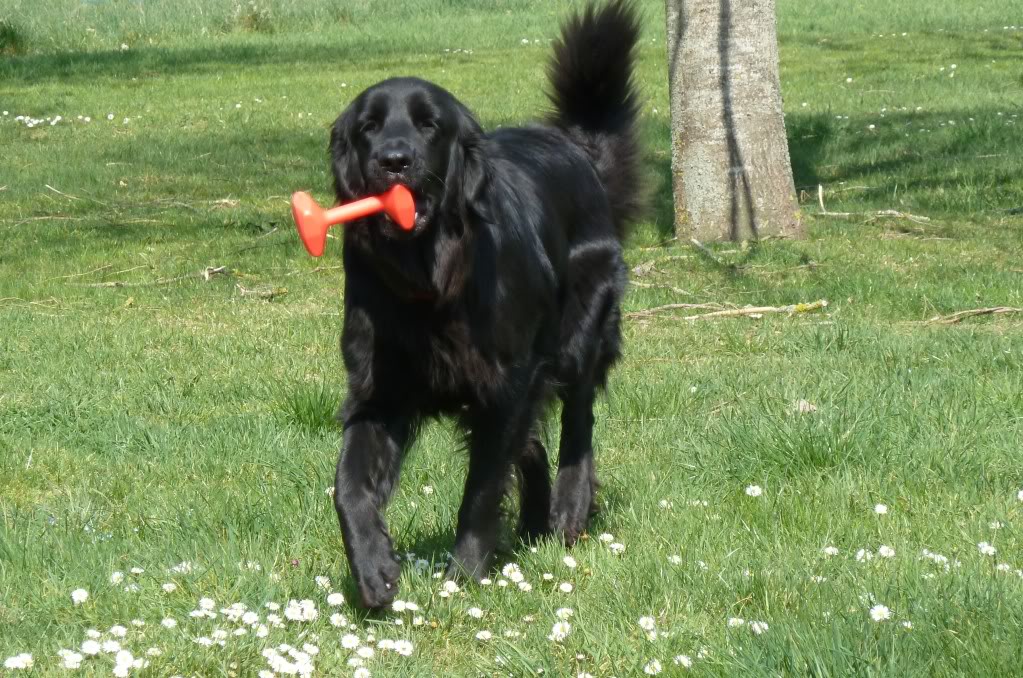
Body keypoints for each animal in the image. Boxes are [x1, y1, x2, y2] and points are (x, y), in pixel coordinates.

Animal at [331, 0, 642, 609]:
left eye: (429, 124)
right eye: (368, 127)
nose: (393, 160)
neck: (427, 278)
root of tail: (576, 148)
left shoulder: (505, 382)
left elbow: (479, 490)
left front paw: (465, 573)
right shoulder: (380, 391)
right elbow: (347, 486)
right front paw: (374, 569)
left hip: (577, 333)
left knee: (576, 421)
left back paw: (569, 509)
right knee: (532, 446)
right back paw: (533, 524)